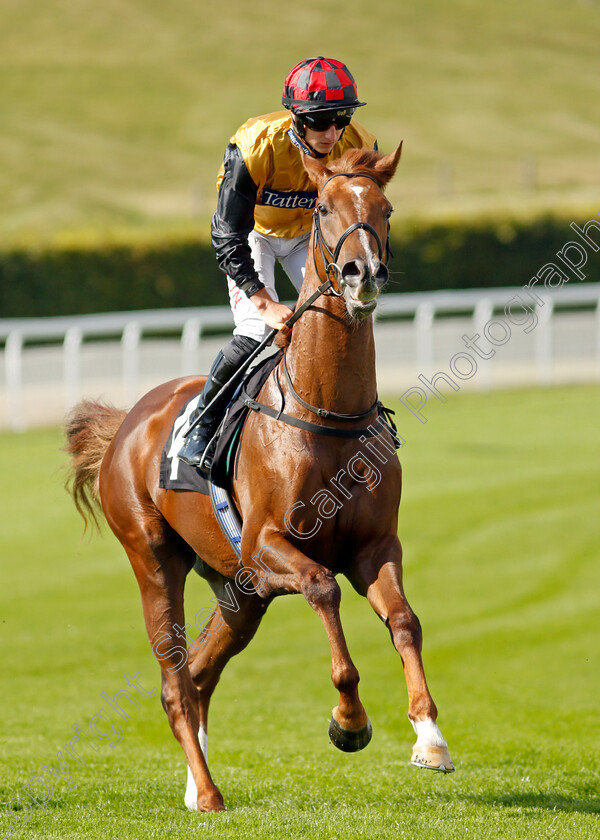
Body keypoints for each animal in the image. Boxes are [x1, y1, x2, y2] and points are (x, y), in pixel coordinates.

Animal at [63, 146, 452, 812]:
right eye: (323, 208)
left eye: (386, 208)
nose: (363, 273)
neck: (327, 413)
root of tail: (125, 425)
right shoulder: (267, 544)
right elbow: (324, 589)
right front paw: (349, 721)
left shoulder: (374, 545)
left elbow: (405, 621)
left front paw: (429, 737)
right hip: (155, 559)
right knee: (175, 681)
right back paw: (209, 793)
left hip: (238, 589)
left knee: (198, 671)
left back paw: (195, 784)